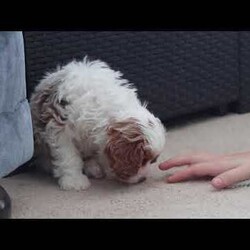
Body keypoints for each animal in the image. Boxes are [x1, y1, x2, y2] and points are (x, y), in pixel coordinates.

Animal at [29, 57, 166, 190]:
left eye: (152, 161)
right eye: (142, 160)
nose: (142, 179)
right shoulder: (60, 128)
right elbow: (69, 156)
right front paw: (74, 180)